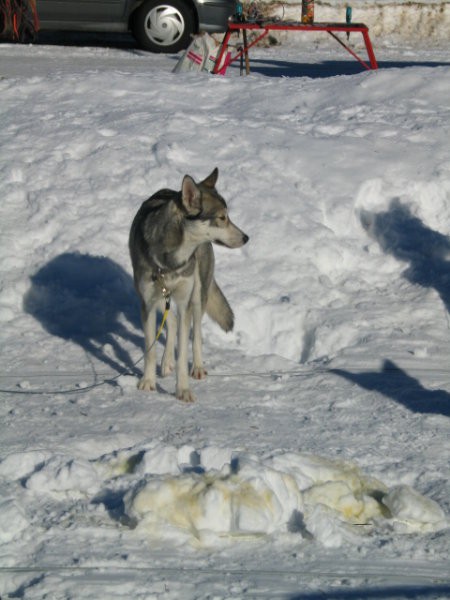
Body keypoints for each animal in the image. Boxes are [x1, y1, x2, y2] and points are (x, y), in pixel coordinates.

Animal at [129, 168, 250, 404]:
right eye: (222, 218)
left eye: (228, 216)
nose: (246, 237)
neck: (169, 262)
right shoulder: (147, 303)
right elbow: (150, 349)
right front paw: (147, 382)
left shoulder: (184, 300)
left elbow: (184, 351)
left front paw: (183, 389)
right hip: (158, 296)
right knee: (172, 322)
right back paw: (166, 361)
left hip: (196, 295)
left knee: (196, 334)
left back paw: (198, 367)